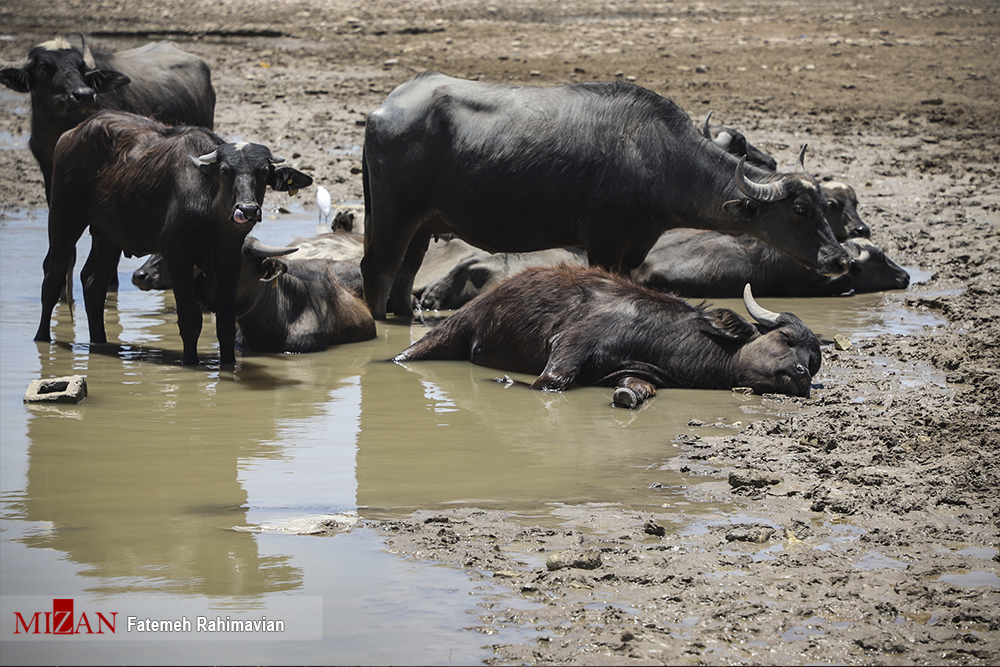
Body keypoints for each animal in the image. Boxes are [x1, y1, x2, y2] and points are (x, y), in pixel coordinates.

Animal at [35, 112, 310, 368]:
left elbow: (225, 321)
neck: (208, 211)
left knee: (93, 283)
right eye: (225, 171)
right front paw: (190, 363)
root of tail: (72, 133)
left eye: (263, 172)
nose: (248, 209)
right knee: (52, 276)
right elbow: (190, 318)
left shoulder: (228, 258)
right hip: (63, 219)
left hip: (106, 235)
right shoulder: (177, 256)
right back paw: (42, 338)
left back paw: (100, 342)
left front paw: (228, 366)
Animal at [362, 73, 852, 318]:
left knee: (406, 274)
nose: (841, 259)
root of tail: (384, 108)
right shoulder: (602, 239)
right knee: (378, 270)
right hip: (389, 214)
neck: (658, 156)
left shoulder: (633, 246)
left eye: (825, 208)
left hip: (422, 223)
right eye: (801, 210)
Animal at [390, 266, 820, 408]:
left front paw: (627, 395)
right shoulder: (571, 343)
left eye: (815, 363)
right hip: (445, 333)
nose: (801, 375)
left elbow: (637, 388)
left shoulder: (640, 371)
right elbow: (549, 383)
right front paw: (505, 379)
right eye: (785, 338)